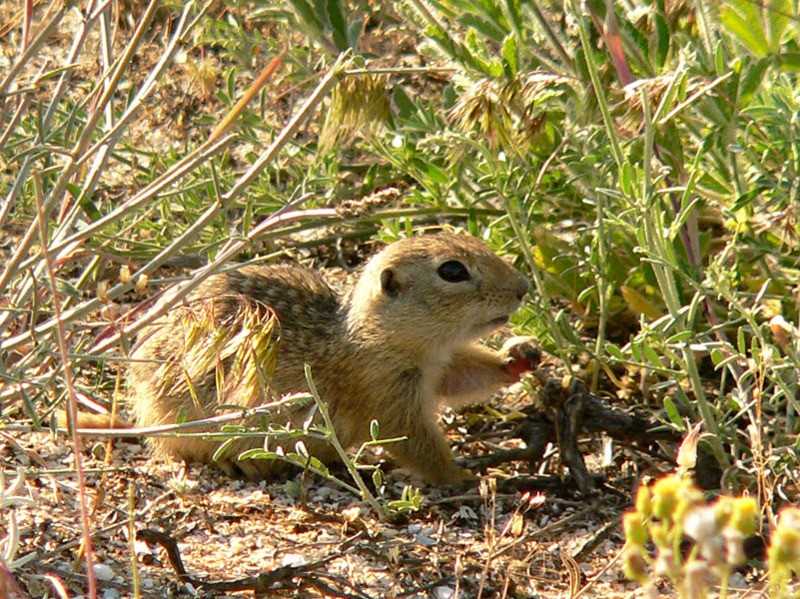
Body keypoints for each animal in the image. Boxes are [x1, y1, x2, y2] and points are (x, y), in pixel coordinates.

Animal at [126, 232, 536, 486]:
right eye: (452, 270)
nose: (523, 287)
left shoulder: (441, 363)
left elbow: (466, 376)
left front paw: (518, 356)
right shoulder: (384, 391)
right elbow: (415, 443)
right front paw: (461, 477)